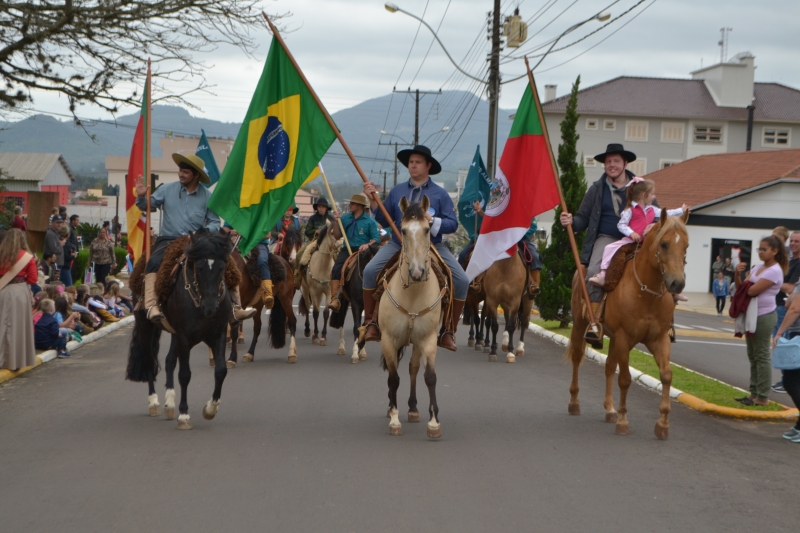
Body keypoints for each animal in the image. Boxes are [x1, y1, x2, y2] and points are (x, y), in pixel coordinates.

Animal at [126, 229, 234, 428]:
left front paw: (211, 408)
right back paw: (154, 402)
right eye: (199, 268)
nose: (210, 307)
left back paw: (169, 404)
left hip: (175, 334)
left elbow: (221, 370)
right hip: (145, 326)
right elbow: (184, 374)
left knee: (169, 361)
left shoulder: (219, 334)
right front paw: (184, 415)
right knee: (149, 360)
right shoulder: (185, 337)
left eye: (222, 268)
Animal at [380, 194, 446, 436]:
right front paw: (394, 419)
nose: (417, 272)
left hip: (416, 342)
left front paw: (434, 422)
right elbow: (393, 379)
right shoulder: (388, 339)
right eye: (403, 230)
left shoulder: (427, 339)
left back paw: (414, 408)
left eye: (427, 229)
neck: (414, 294)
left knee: (413, 368)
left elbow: (430, 377)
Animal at [564, 210, 692, 438]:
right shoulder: (624, 338)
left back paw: (609, 409)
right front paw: (623, 421)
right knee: (578, 358)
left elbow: (666, 376)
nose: (677, 284)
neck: (646, 293)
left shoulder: (658, 339)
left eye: (686, 246)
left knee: (609, 366)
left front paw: (663, 424)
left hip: (614, 339)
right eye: (664, 244)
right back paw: (574, 402)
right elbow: (624, 378)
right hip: (580, 327)